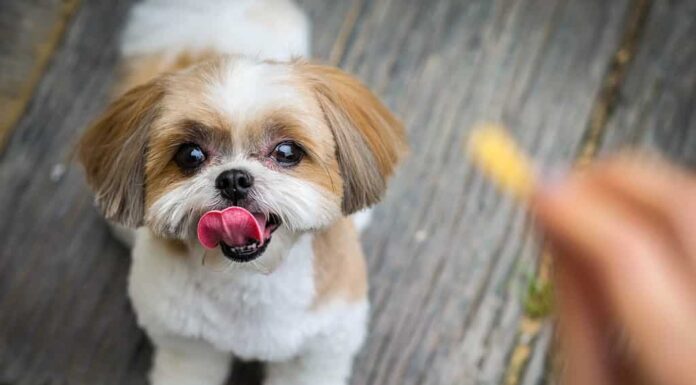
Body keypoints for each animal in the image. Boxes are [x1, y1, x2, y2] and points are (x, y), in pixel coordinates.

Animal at [77, 0, 408, 384]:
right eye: (190, 155)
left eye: (287, 152)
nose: (233, 179)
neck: (249, 282)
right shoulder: (189, 345)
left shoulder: (318, 349)